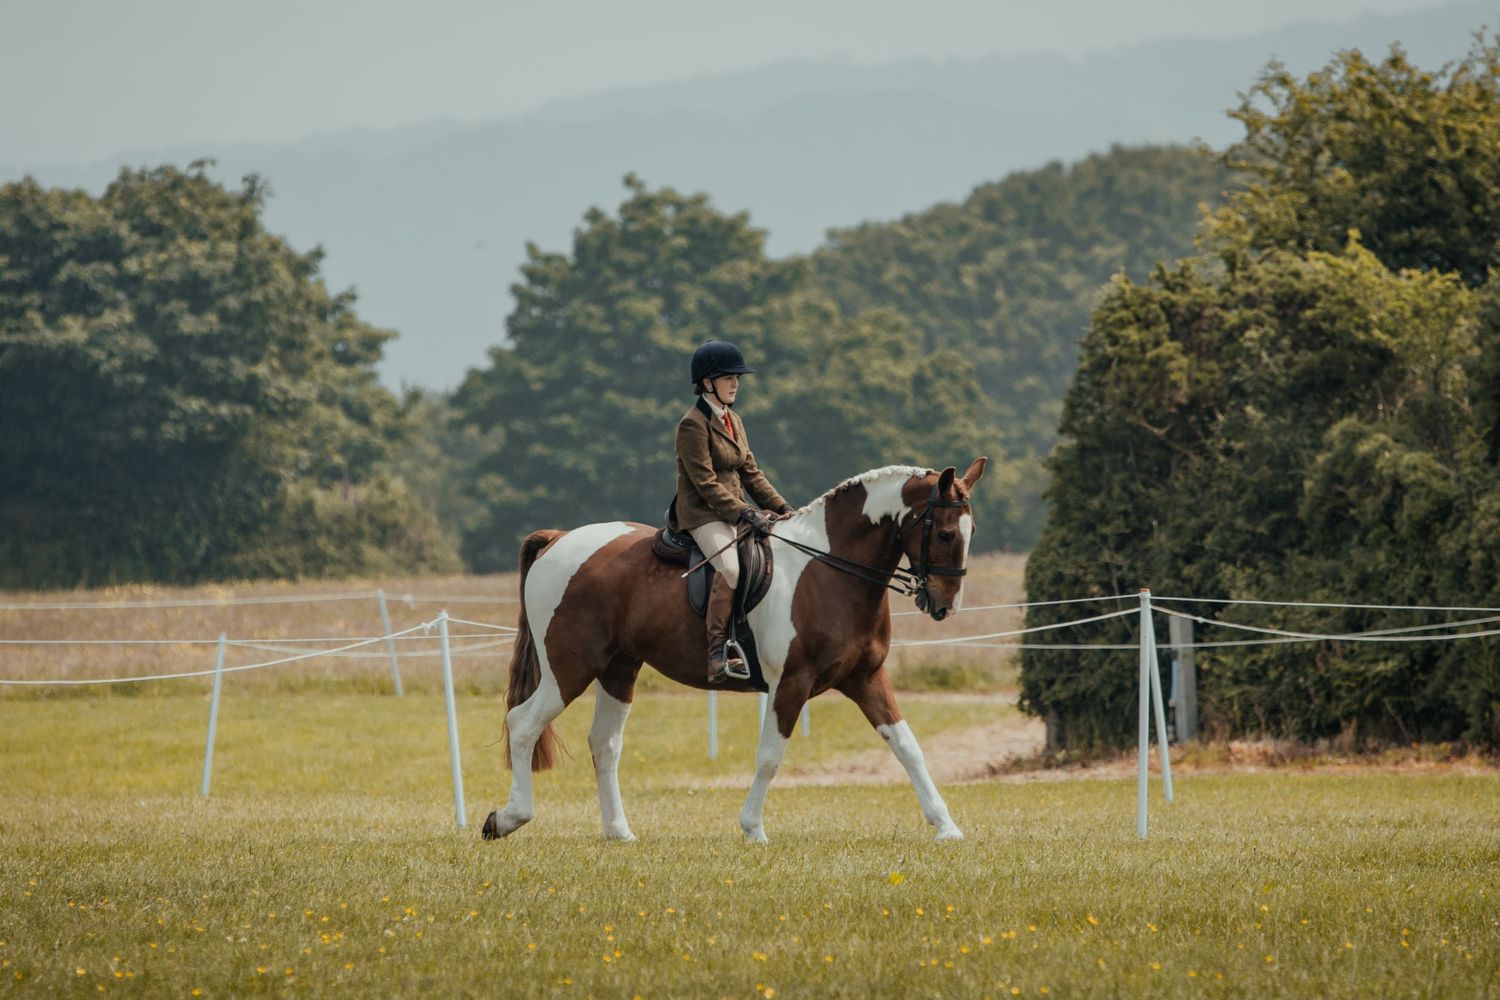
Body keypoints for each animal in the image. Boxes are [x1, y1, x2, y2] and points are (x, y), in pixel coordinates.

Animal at [482, 458, 987, 844]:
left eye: (970, 530)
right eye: (945, 533)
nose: (945, 605)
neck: (828, 568)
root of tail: (559, 540)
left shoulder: (866, 678)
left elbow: (907, 746)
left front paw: (946, 827)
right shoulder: (792, 682)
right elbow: (770, 755)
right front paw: (753, 829)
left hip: (618, 668)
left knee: (604, 743)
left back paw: (619, 832)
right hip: (569, 668)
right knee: (523, 724)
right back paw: (506, 820)